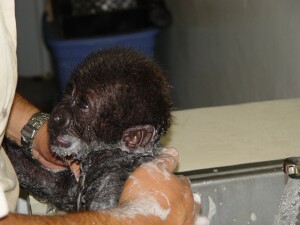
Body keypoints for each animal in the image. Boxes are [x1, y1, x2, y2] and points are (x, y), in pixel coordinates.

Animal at [3, 47, 172, 211]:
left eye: (83, 104)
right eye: (69, 92)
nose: (56, 115)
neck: (113, 158)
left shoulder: (113, 185)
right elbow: (57, 187)